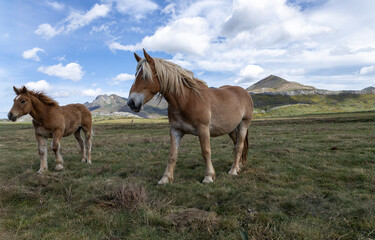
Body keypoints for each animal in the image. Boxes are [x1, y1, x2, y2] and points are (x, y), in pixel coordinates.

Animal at [129, 49, 256, 184]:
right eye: (136, 74)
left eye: (144, 76)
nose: (131, 102)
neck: (187, 100)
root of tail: (244, 92)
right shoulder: (175, 131)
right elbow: (172, 154)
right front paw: (165, 178)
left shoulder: (203, 129)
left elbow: (206, 152)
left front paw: (209, 176)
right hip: (231, 129)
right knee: (237, 145)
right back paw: (237, 167)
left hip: (243, 125)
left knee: (239, 146)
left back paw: (233, 171)